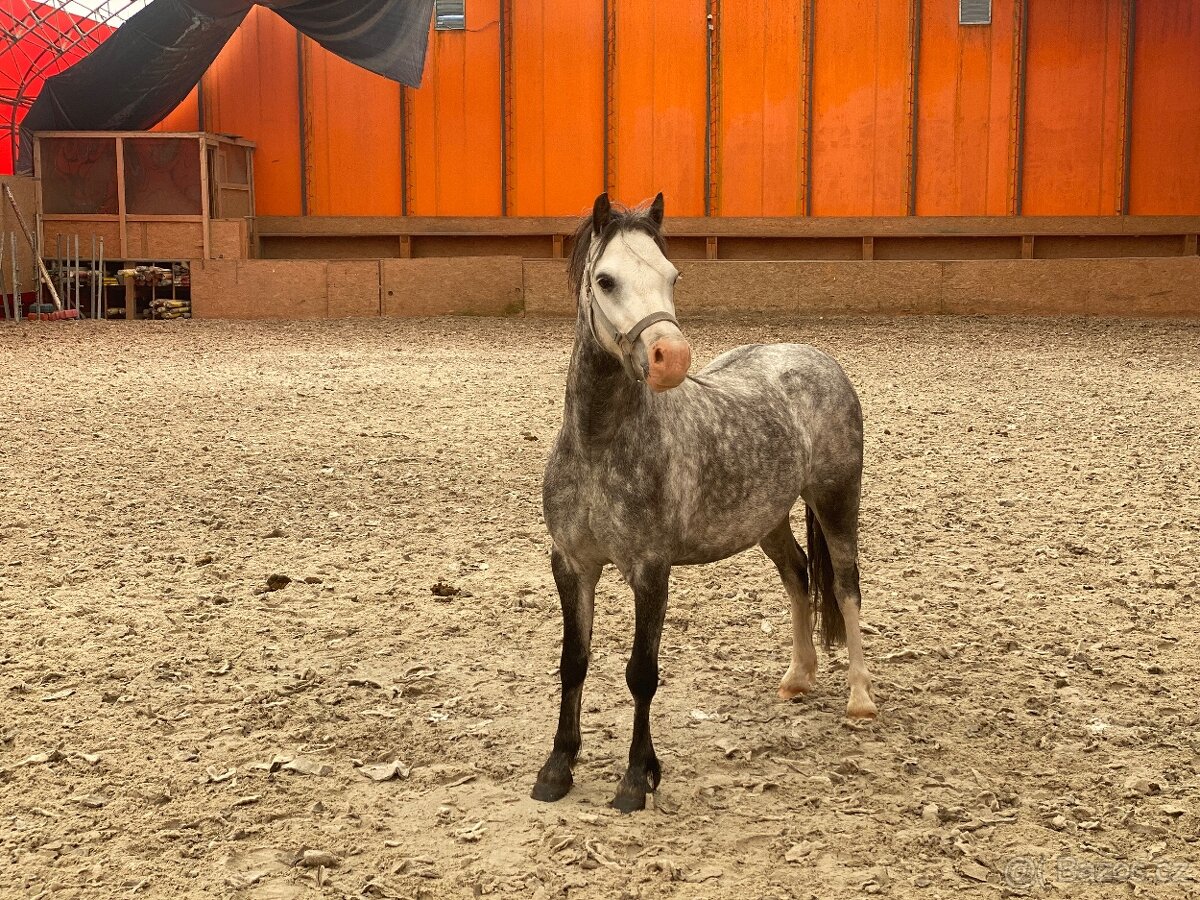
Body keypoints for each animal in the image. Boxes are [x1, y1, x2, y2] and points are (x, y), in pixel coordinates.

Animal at [531, 192, 877, 813]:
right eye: (605, 279)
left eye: (673, 275)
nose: (671, 357)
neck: (599, 446)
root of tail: (815, 358)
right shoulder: (571, 564)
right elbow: (573, 663)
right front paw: (557, 769)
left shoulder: (650, 569)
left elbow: (641, 673)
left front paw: (636, 778)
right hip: (768, 520)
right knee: (798, 575)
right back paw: (798, 678)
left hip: (837, 499)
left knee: (844, 585)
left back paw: (860, 699)